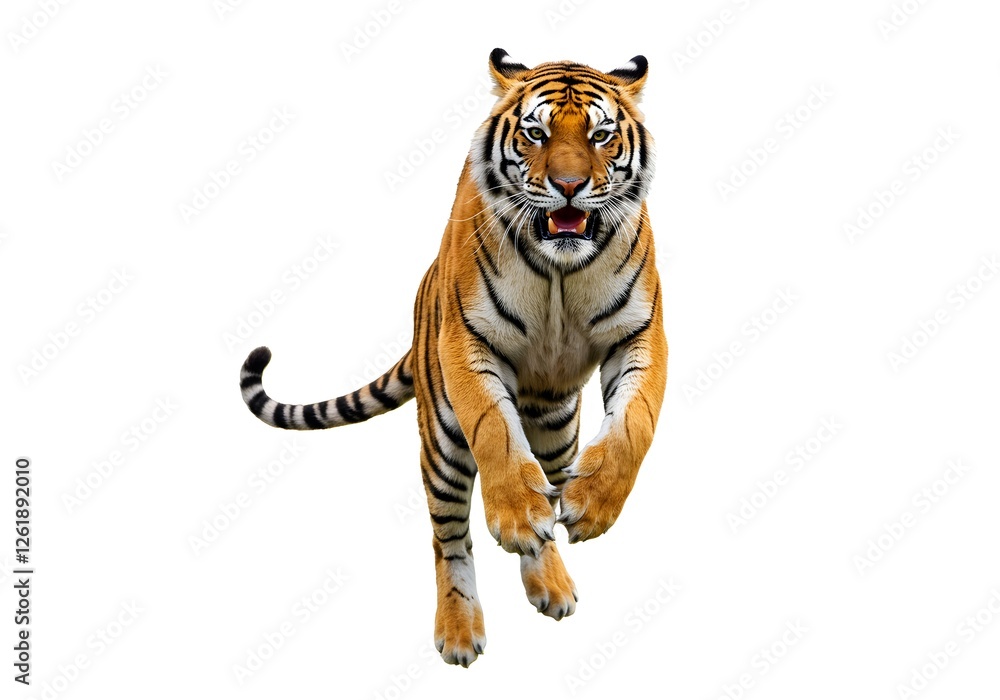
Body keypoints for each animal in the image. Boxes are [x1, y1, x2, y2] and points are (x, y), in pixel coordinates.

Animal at [239, 48, 667, 667]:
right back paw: (460, 630)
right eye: (536, 133)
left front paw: (592, 504)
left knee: (548, 483)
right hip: (441, 440)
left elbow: (635, 423)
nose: (568, 186)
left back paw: (551, 583)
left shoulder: (640, 333)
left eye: (601, 135)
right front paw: (516, 514)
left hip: (559, 427)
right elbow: (494, 430)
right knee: (448, 538)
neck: (559, 269)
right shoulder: (468, 339)